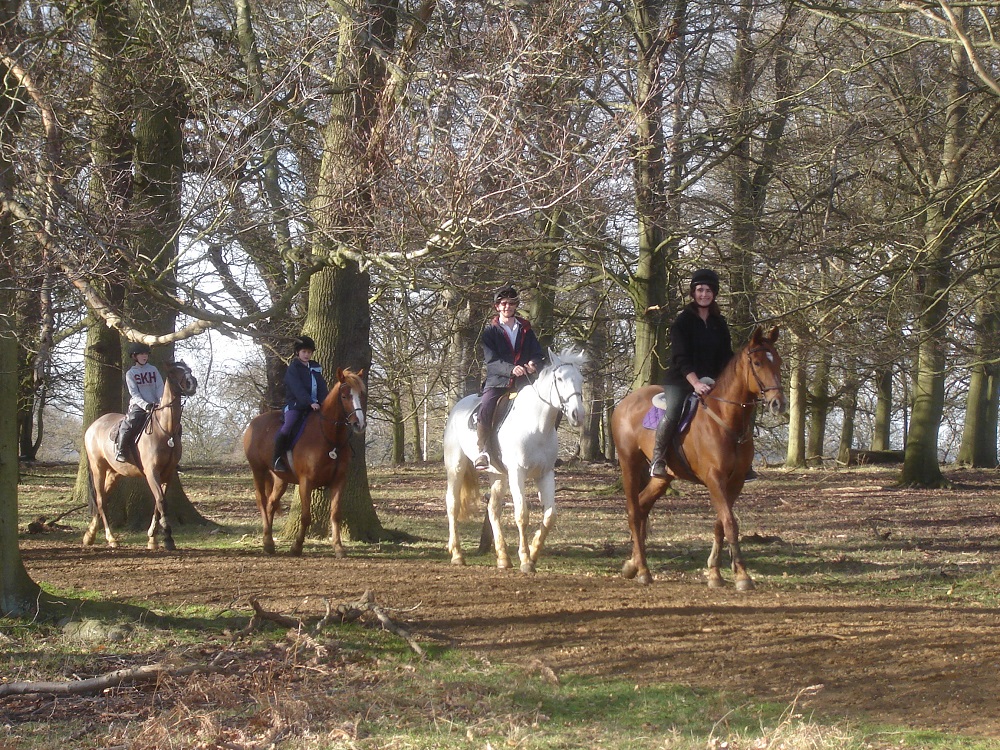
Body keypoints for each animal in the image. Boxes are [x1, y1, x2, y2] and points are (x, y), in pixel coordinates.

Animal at [84, 362, 199, 548]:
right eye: (174, 371)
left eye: (188, 369)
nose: (192, 383)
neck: (165, 430)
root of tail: (93, 427)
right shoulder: (152, 473)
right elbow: (161, 501)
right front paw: (168, 538)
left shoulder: (167, 474)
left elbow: (158, 504)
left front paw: (153, 538)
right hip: (98, 469)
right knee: (100, 501)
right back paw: (111, 538)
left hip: (113, 473)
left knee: (103, 499)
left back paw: (90, 534)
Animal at [242, 370, 368, 560]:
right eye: (345, 396)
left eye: (361, 394)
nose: (359, 424)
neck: (329, 437)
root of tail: (253, 423)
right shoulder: (305, 482)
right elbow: (306, 516)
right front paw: (296, 547)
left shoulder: (339, 481)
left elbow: (335, 514)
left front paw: (338, 547)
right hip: (258, 470)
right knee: (262, 501)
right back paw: (268, 542)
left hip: (280, 479)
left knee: (271, 503)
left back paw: (268, 540)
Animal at [444, 350, 584, 572]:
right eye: (560, 379)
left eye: (581, 379)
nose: (577, 415)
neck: (536, 426)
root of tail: (459, 406)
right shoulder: (517, 473)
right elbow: (522, 514)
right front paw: (526, 560)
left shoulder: (545, 474)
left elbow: (550, 515)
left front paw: (534, 553)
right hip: (456, 467)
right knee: (453, 505)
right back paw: (457, 554)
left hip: (498, 475)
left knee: (493, 509)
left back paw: (503, 558)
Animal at [604, 328, 784, 592]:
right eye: (758, 363)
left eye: (778, 362)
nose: (778, 403)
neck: (725, 418)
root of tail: (624, 403)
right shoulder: (714, 479)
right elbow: (730, 522)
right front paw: (742, 576)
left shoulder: (735, 482)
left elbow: (720, 524)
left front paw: (715, 574)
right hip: (629, 464)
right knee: (634, 511)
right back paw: (644, 571)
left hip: (663, 477)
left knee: (643, 506)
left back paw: (633, 564)